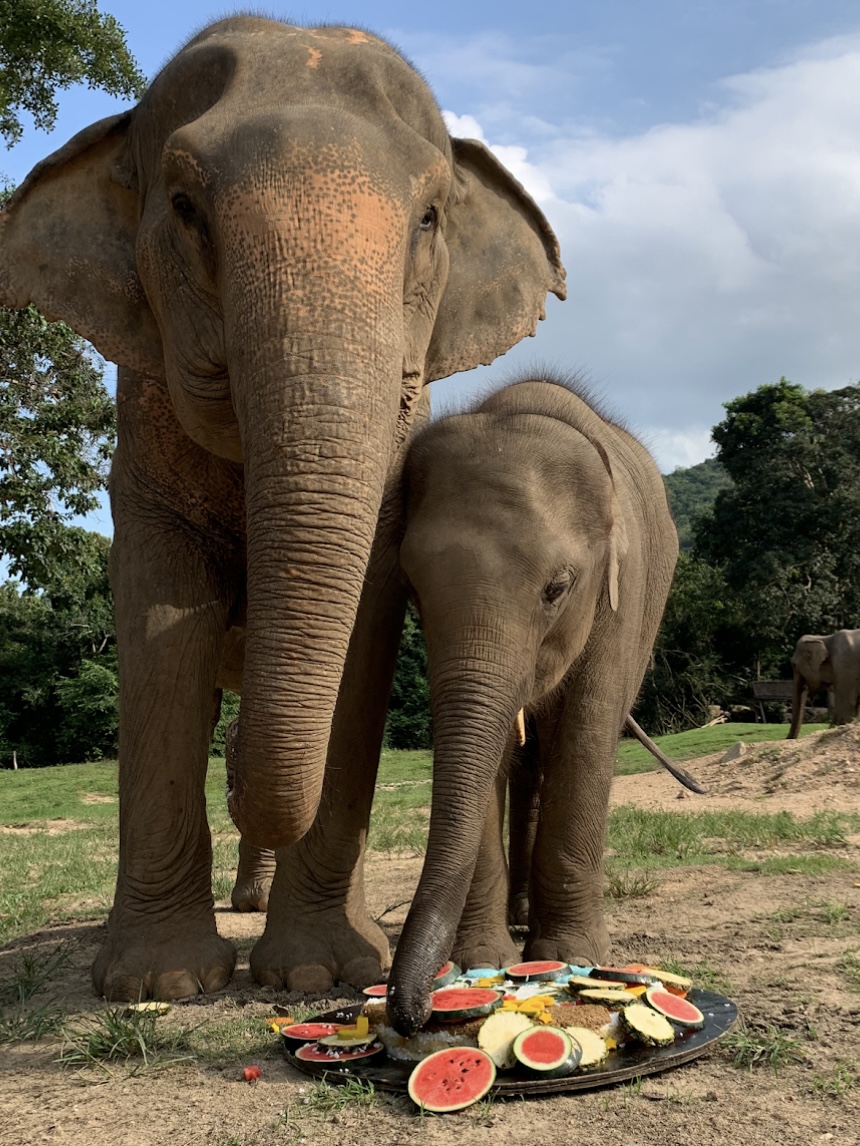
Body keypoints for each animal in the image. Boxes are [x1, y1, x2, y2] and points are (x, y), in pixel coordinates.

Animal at [0, 17, 565, 999]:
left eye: (429, 217)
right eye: (184, 206)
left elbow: (365, 635)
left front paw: (316, 974)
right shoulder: (140, 446)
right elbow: (164, 635)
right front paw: (158, 984)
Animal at [384, 376, 679, 1035]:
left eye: (557, 588)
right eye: (411, 589)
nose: (412, 1012)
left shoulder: (622, 596)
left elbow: (587, 732)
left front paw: (570, 955)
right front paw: (482, 960)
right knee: (527, 763)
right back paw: (519, 915)